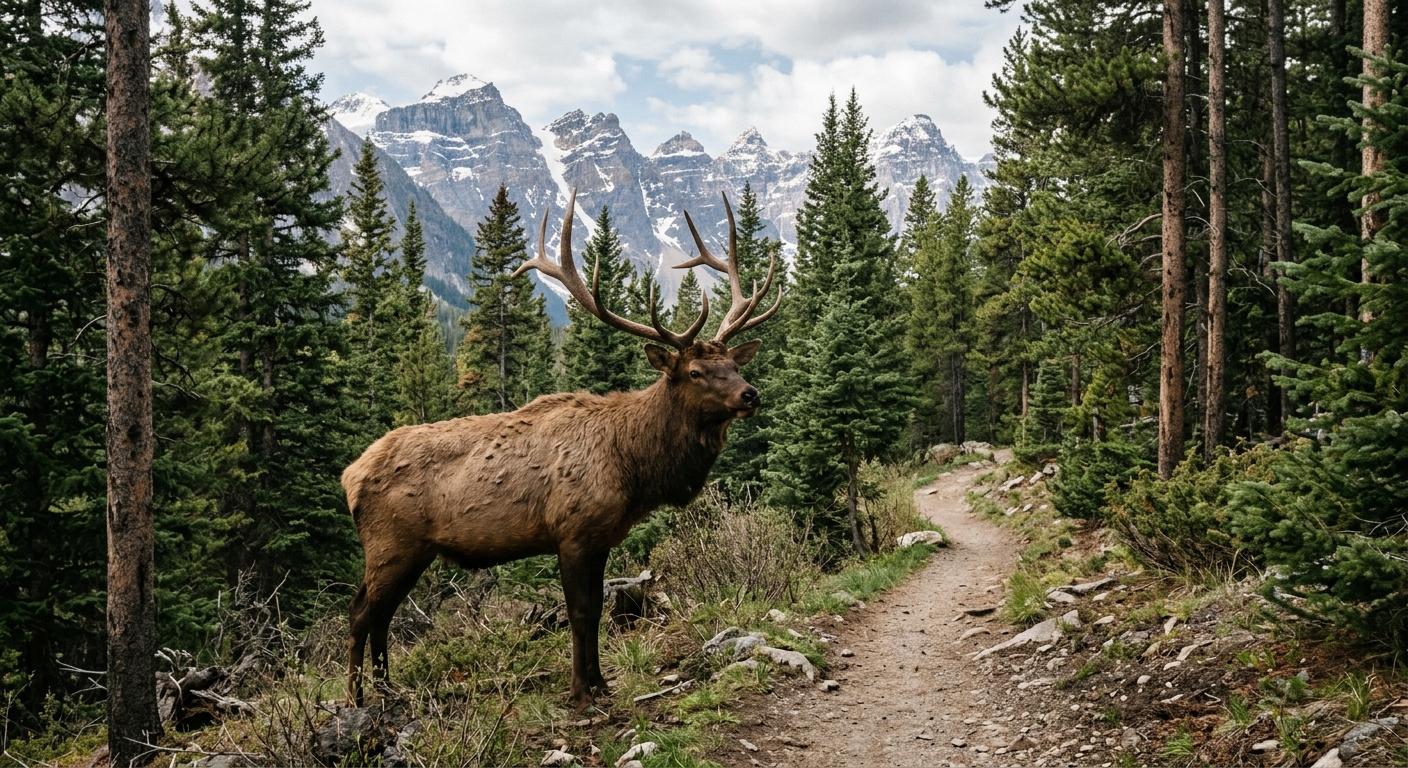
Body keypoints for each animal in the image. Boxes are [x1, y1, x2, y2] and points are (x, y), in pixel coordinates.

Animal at [342, 189, 780, 711]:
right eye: (695, 372)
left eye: (733, 363)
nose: (750, 394)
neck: (633, 467)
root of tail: (349, 476)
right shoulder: (570, 531)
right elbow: (580, 613)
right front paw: (579, 693)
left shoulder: (601, 538)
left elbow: (598, 611)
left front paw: (601, 683)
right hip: (390, 543)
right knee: (360, 612)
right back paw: (356, 698)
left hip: (414, 551)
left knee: (382, 615)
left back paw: (389, 690)